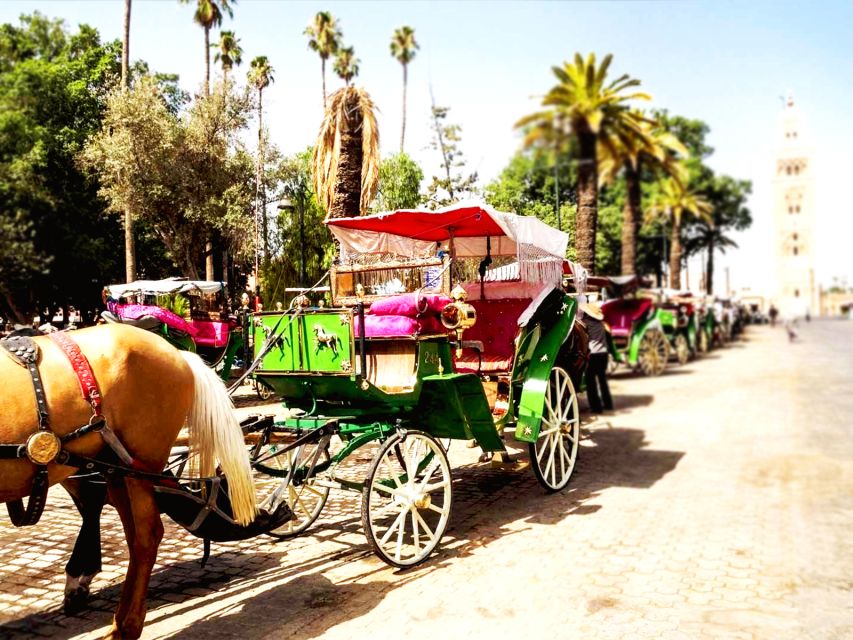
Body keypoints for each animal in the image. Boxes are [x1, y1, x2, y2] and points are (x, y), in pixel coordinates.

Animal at [0, 328, 256, 636]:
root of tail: (178, 353)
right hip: (115, 465)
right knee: (124, 529)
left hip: (138, 463)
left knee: (146, 535)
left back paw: (125, 625)